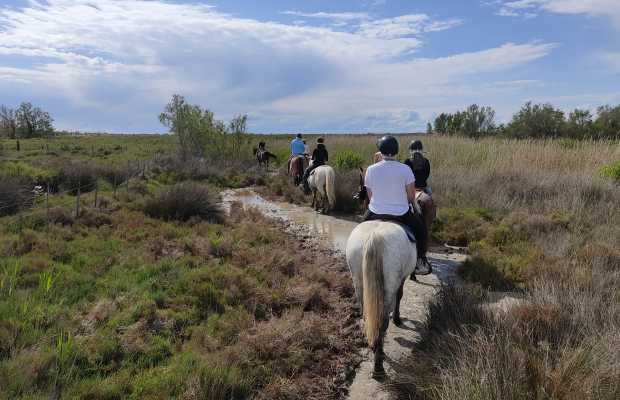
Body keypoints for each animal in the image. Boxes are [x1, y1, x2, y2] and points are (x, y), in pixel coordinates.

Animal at [344, 220, 416, 380]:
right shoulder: (401, 279)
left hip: (359, 283)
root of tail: (374, 235)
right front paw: (397, 319)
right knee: (382, 324)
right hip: (389, 287)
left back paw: (373, 347)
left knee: (367, 318)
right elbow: (400, 295)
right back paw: (379, 366)